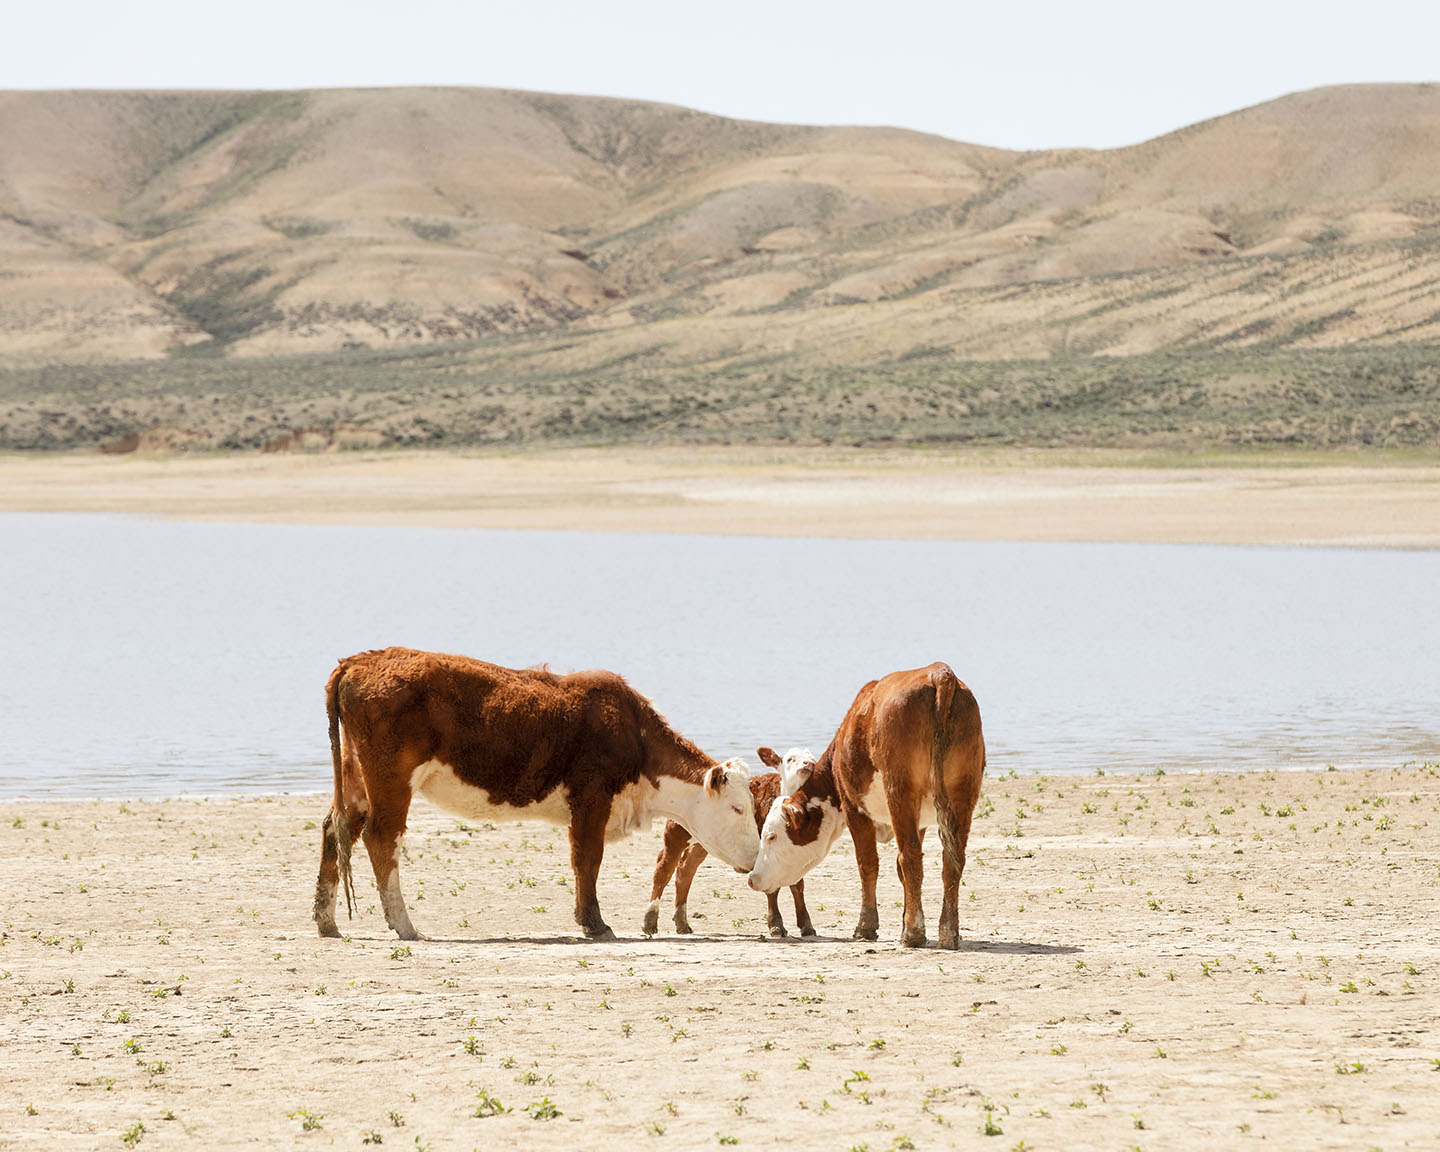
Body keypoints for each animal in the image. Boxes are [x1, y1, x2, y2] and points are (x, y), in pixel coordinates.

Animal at [312, 647, 759, 942]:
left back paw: (326, 921)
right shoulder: (591, 799)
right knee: (381, 837)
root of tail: (359, 661)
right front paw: (595, 923)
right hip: (391, 780)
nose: (756, 859)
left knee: (337, 828)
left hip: (356, 778)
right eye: (738, 808)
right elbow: (587, 859)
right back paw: (405, 925)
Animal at [643, 750, 817, 939]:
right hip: (676, 832)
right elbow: (773, 887)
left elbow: (798, 884)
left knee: (686, 870)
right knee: (664, 868)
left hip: (704, 841)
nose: (808, 764)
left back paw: (682, 922)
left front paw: (806, 925)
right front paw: (776, 925)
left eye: (814, 758)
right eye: (790, 759)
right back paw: (650, 921)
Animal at [746, 663, 984, 949]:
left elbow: (867, 863)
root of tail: (939, 672)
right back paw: (948, 933)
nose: (752, 878)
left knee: (910, 857)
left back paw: (913, 933)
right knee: (952, 859)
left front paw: (866, 927)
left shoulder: (853, 808)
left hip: (900, 791)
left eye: (771, 836)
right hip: (963, 790)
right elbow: (899, 870)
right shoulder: (920, 821)